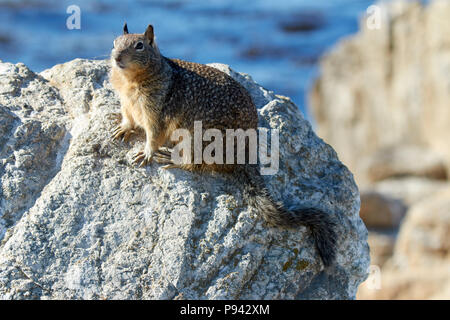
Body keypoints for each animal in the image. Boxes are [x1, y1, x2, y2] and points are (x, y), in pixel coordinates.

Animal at [109, 23, 336, 266]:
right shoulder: (126, 103)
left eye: (139, 45)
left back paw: (171, 158)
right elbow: (128, 118)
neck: (131, 81)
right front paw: (122, 128)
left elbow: (154, 136)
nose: (116, 57)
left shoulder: (157, 112)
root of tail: (243, 156)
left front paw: (146, 153)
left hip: (197, 140)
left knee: (194, 165)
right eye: (114, 43)